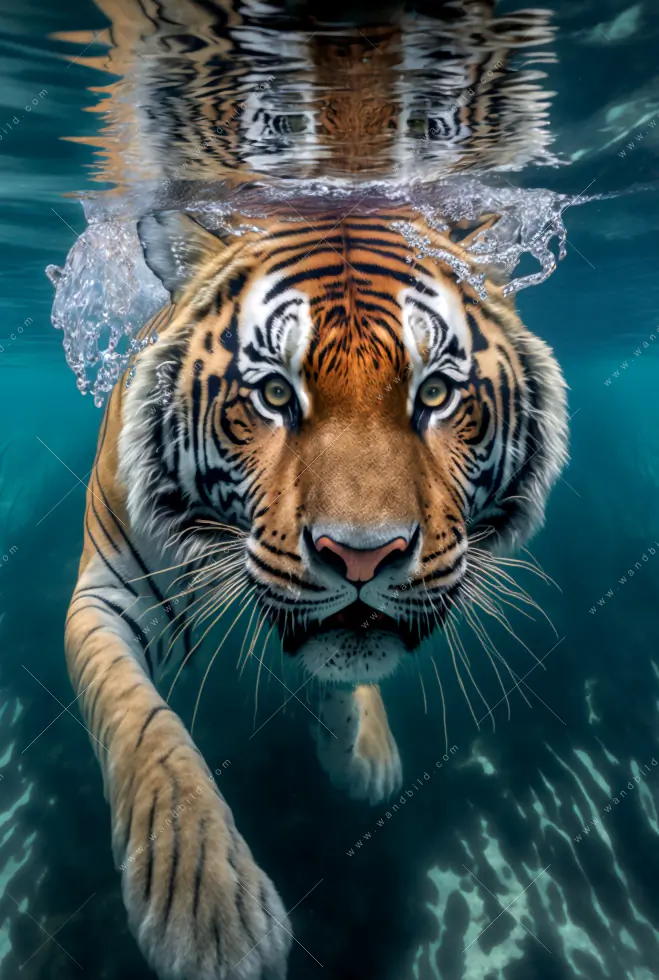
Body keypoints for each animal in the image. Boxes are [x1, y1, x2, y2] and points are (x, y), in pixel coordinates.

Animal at [64, 207, 567, 980]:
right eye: (275, 394)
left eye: (434, 393)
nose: (363, 556)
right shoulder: (105, 597)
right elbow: (142, 725)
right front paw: (205, 909)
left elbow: (338, 668)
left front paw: (365, 758)